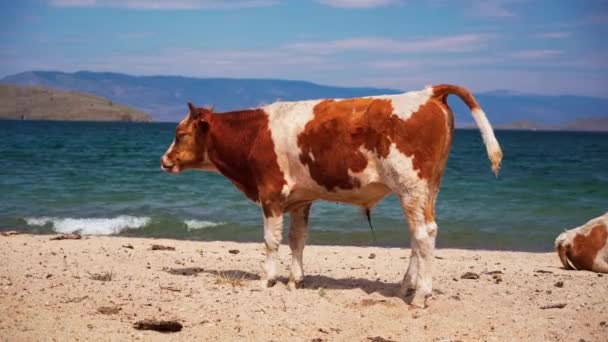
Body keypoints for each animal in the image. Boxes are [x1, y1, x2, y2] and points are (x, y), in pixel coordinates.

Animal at [159, 85, 502, 308]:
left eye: (180, 134)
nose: (164, 160)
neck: (255, 134)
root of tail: (429, 92)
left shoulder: (271, 194)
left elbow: (271, 241)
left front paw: (266, 279)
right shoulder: (300, 199)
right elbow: (297, 239)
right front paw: (294, 280)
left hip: (411, 187)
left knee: (424, 234)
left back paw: (420, 296)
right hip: (427, 190)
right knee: (417, 237)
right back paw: (406, 286)